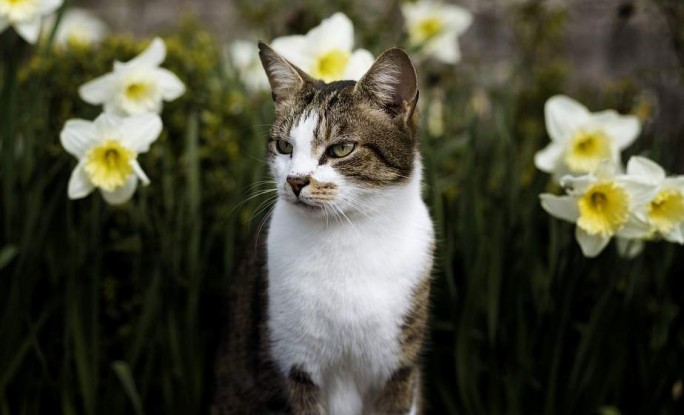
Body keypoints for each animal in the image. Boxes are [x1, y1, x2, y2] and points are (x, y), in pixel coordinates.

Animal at [212, 43, 438, 415]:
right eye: (284, 147)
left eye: (341, 149)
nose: (295, 181)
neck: (346, 233)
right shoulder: (296, 365)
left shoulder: (399, 368)